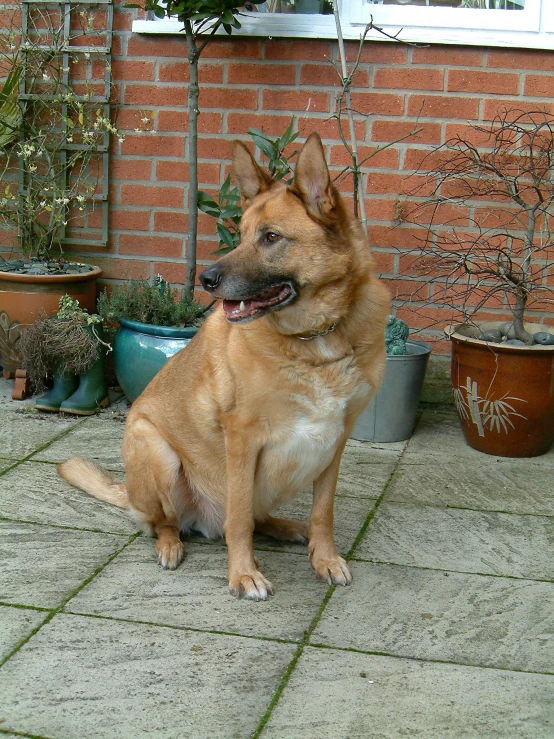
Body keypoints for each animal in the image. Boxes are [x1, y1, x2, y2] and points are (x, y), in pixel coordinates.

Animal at [59, 133, 388, 600]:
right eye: (241, 235)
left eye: (271, 237)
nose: (207, 280)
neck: (314, 341)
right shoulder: (243, 438)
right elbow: (239, 519)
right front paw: (243, 574)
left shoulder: (336, 439)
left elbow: (322, 512)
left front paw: (324, 559)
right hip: (154, 448)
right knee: (167, 522)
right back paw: (171, 545)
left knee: (258, 516)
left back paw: (288, 527)